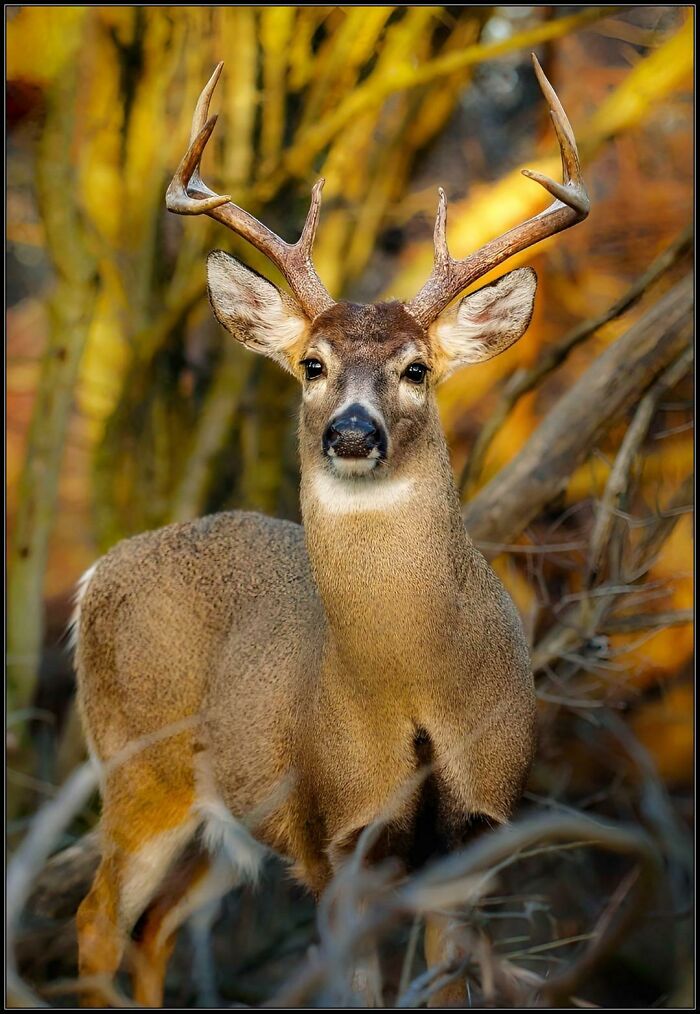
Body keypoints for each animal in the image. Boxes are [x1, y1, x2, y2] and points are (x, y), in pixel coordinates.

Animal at [73, 54, 588, 1008]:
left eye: (416, 369)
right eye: (312, 365)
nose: (352, 432)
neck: (417, 699)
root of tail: (96, 575)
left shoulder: (474, 844)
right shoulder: (337, 840)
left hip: (227, 826)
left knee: (153, 932)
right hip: (138, 769)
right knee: (97, 926)